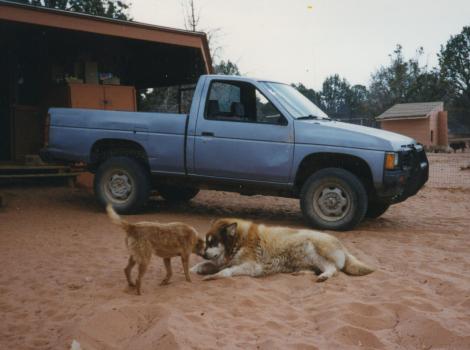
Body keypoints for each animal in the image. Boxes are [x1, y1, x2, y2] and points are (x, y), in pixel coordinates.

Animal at [192, 219, 374, 282]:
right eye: (207, 243)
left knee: (334, 269)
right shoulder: (224, 261)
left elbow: (226, 271)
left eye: (213, 242)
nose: (203, 253)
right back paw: (301, 273)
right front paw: (194, 269)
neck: (239, 242)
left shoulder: (252, 266)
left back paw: (324, 276)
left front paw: (213, 276)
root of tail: (342, 245)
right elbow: (206, 265)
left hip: (311, 247)